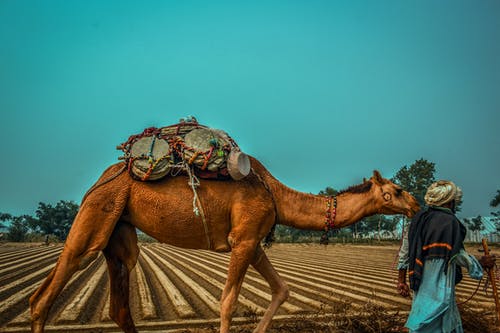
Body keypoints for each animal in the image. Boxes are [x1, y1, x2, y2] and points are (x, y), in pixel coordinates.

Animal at [29, 156, 420, 332]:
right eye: (398, 189)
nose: (416, 205)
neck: (275, 194)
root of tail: (99, 179)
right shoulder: (243, 238)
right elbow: (228, 301)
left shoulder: (253, 240)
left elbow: (282, 289)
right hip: (97, 212)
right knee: (44, 296)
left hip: (118, 232)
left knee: (119, 304)